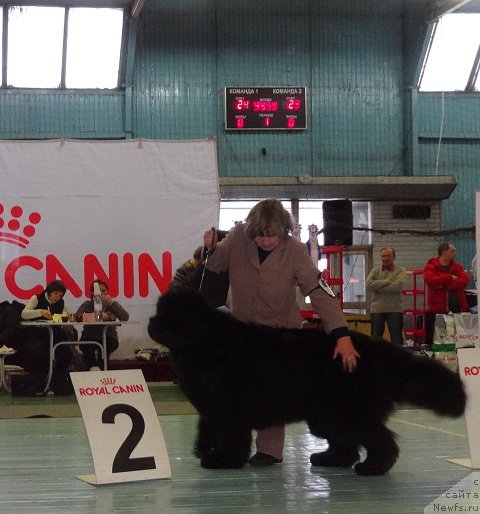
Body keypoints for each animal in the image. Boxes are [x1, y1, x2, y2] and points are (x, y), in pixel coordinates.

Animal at [149, 286, 464, 474]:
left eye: (168, 315)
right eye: (158, 311)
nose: (151, 323)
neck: (203, 339)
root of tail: (374, 348)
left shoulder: (228, 409)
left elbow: (231, 436)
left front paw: (222, 460)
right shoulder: (211, 407)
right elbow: (206, 427)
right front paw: (203, 448)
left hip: (346, 410)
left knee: (379, 438)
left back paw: (372, 467)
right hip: (328, 414)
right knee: (346, 441)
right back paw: (331, 460)